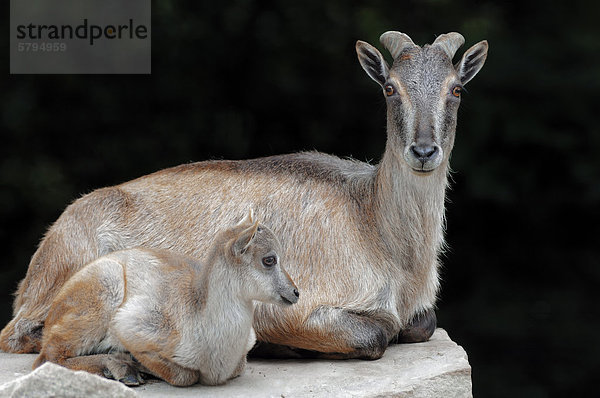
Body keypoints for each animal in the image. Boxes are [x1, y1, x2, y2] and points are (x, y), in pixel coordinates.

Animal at [0, 30, 488, 360]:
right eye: (389, 88)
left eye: (456, 88)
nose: (423, 151)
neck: (377, 229)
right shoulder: (292, 302)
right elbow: (375, 335)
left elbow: (422, 324)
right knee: (23, 333)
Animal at [31, 211, 298, 386]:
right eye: (269, 259)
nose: (295, 292)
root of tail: (54, 309)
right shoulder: (131, 325)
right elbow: (184, 376)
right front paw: (131, 362)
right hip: (102, 295)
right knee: (47, 358)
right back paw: (122, 371)